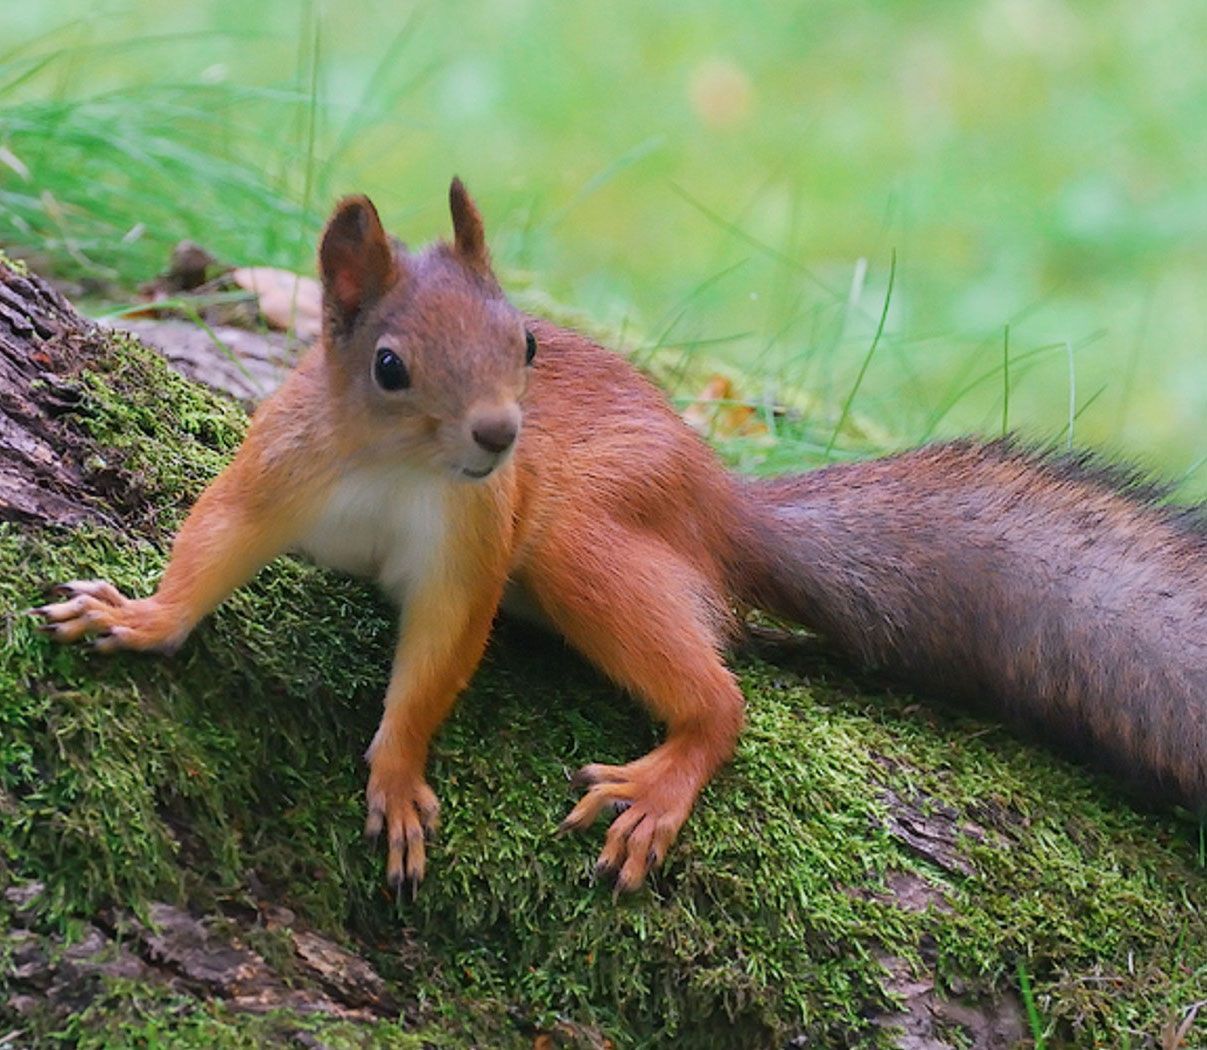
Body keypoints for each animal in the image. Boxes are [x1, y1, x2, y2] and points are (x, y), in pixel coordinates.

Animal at [33, 181, 1207, 897]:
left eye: (525, 343)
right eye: (388, 367)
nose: (502, 435)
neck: (395, 472)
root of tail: (721, 503)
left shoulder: (474, 544)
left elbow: (439, 654)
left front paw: (399, 772)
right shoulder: (279, 469)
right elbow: (215, 542)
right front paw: (143, 618)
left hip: (579, 542)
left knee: (721, 700)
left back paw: (663, 781)